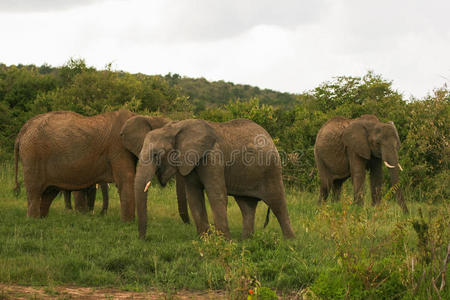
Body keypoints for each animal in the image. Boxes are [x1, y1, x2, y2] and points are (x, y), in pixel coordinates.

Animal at [13, 110, 171, 220]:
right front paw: (128, 223)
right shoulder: (118, 148)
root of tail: (22, 130)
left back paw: (42, 219)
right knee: (35, 191)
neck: (147, 117)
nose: (100, 214)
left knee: (49, 193)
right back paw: (33, 220)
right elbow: (126, 180)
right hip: (32, 155)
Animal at [128, 117, 296, 239]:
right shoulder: (191, 162)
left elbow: (217, 195)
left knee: (277, 203)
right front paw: (204, 239)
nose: (143, 239)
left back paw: (289, 242)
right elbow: (194, 197)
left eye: (157, 154)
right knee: (247, 206)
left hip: (271, 170)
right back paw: (247, 240)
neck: (177, 128)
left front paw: (225, 242)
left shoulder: (213, 156)